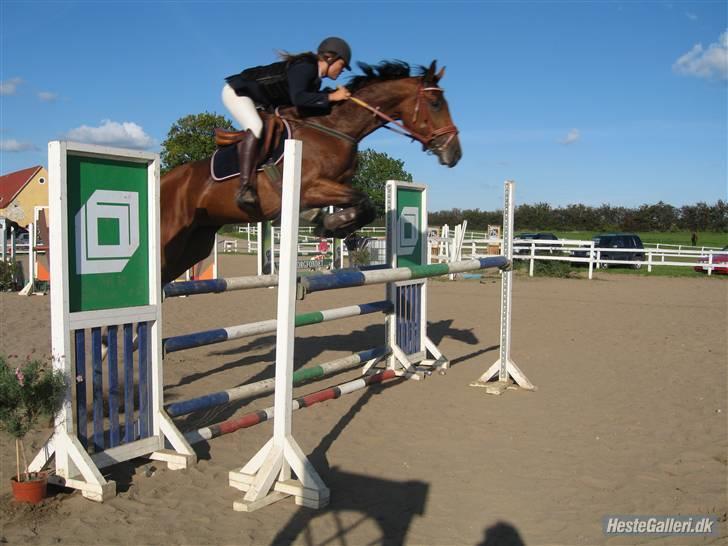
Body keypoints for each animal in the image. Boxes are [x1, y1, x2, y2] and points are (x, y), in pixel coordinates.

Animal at [162, 59, 464, 282]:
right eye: (436, 104)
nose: (455, 154)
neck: (335, 129)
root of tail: (165, 180)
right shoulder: (311, 187)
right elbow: (365, 202)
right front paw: (330, 224)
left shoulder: (335, 185)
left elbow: (363, 207)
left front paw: (331, 225)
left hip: (194, 244)